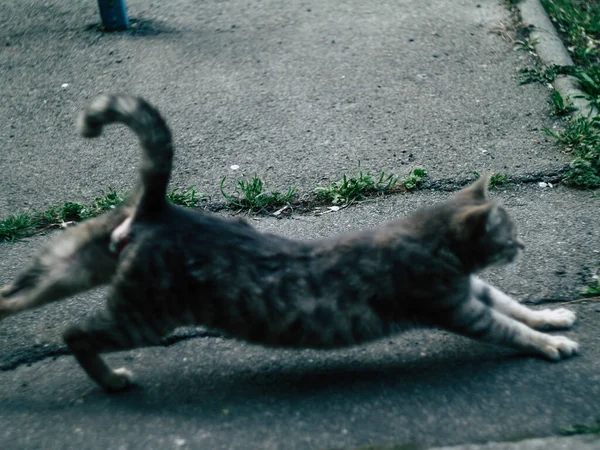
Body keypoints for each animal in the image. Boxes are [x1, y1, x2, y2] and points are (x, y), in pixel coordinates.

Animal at [0, 94, 580, 390]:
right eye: (510, 234)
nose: (522, 249)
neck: (428, 241)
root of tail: (159, 210)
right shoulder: (455, 304)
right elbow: (508, 327)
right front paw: (548, 343)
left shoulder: (471, 289)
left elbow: (514, 305)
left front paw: (552, 317)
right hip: (143, 315)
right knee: (76, 332)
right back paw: (112, 380)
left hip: (81, 259)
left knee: (20, 291)